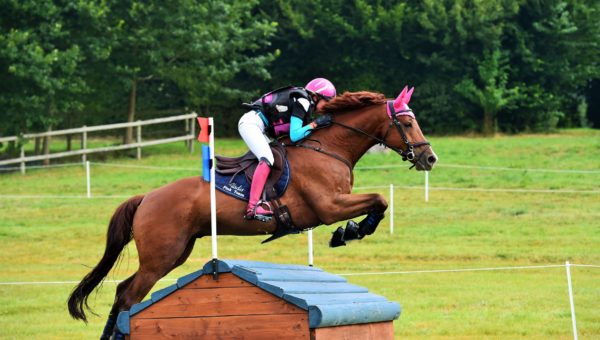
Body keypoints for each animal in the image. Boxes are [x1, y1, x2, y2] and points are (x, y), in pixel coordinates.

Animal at [69, 87, 436, 338]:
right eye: (407, 122)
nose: (429, 158)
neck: (329, 148)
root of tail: (147, 197)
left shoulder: (335, 203)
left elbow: (379, 202)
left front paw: (349, 231)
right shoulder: (329, 206)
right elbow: (379, 200)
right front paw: (350, 232)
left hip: (174, 253)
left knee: (124, 291)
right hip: (160, 256)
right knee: (128, 295)